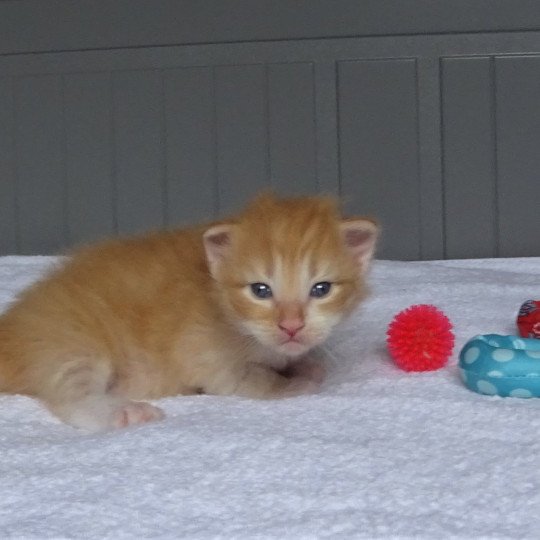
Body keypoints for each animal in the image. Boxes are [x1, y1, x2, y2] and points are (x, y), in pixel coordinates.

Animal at [0, 193, 380, 430]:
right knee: (71, 395)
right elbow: (254, 380)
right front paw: (295, 382)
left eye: (321, 289)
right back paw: (124, 411)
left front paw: (303, 362)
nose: (291, 326)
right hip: (69, 342)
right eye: (260, 291)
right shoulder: (204, 353)